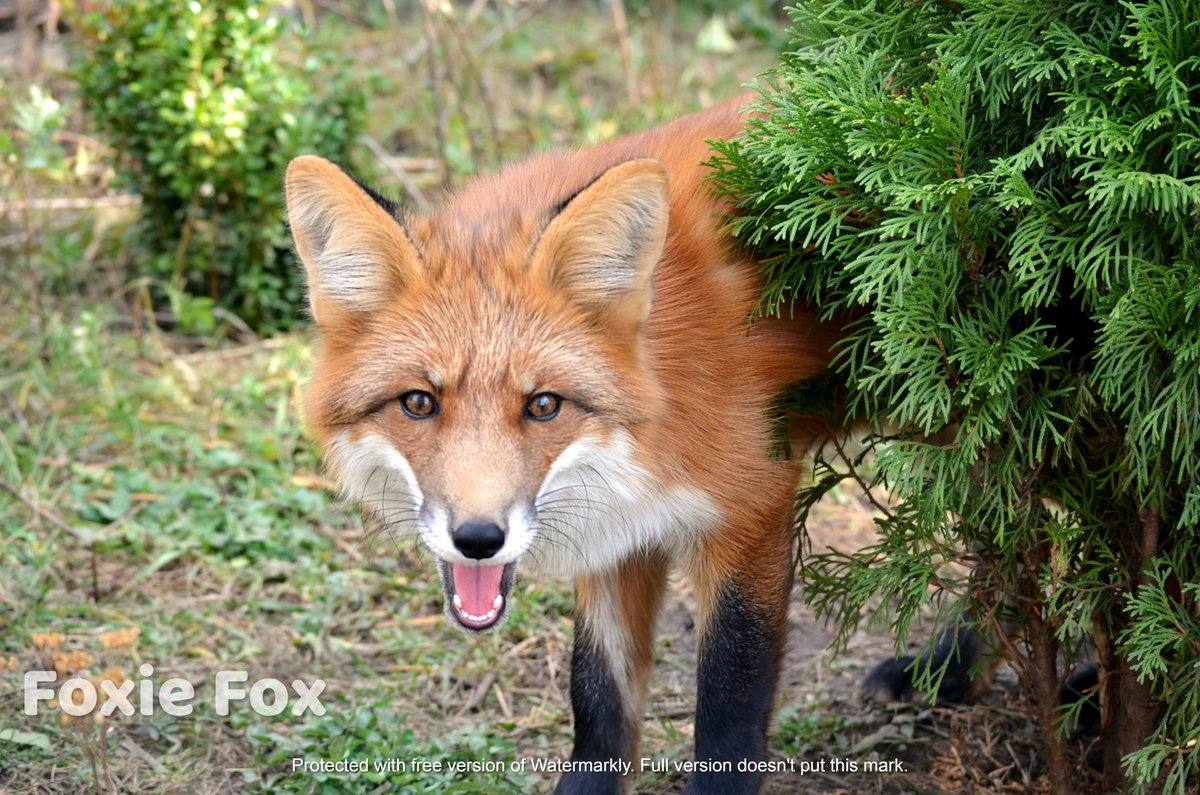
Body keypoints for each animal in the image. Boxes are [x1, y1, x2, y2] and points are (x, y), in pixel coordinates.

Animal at [285, 97, 845, 794]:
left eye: (543, 405)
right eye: (419, 402)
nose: (478, 539)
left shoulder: (753, 508)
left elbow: (728, 705)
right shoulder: (615, 532)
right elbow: (598, 696)